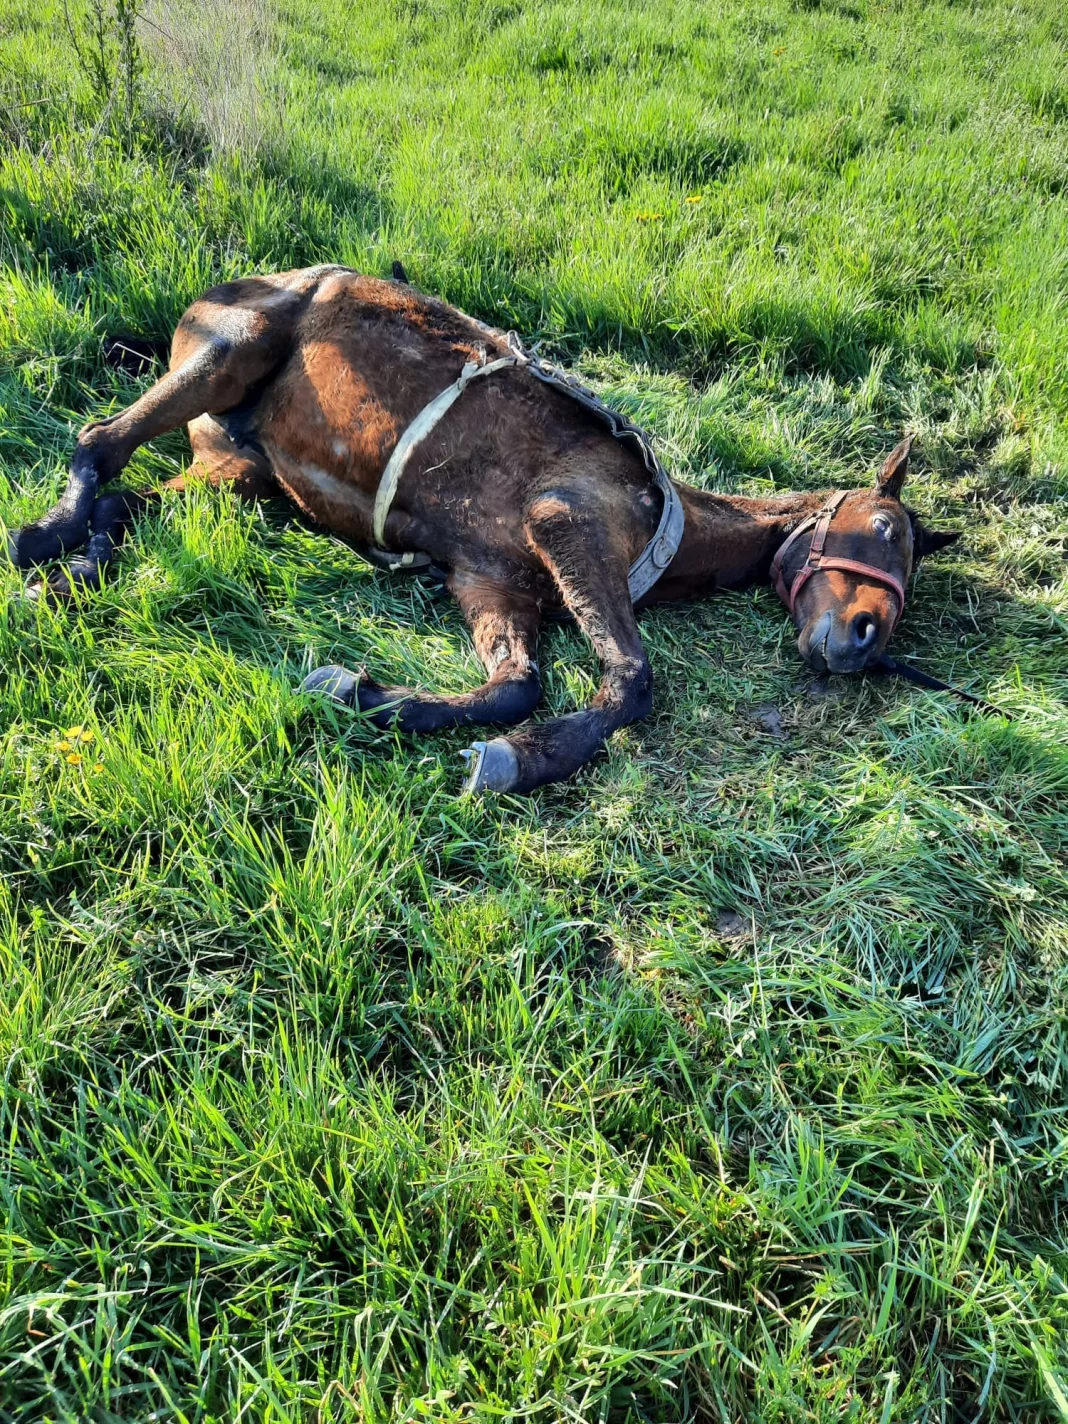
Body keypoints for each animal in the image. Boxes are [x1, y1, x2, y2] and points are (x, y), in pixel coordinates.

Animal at [6, 267, 962, 797]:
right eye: (884, 526)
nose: (865, 640)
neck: (659, 512)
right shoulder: (564, 518)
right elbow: (631, 678)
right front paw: (526, 758)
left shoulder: (492, 580)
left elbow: (512, 684)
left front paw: (370, 697)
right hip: (230, 352)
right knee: (99, 440)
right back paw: (45, 542)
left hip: (236, 475)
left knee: (128, 501)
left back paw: (79, 569)